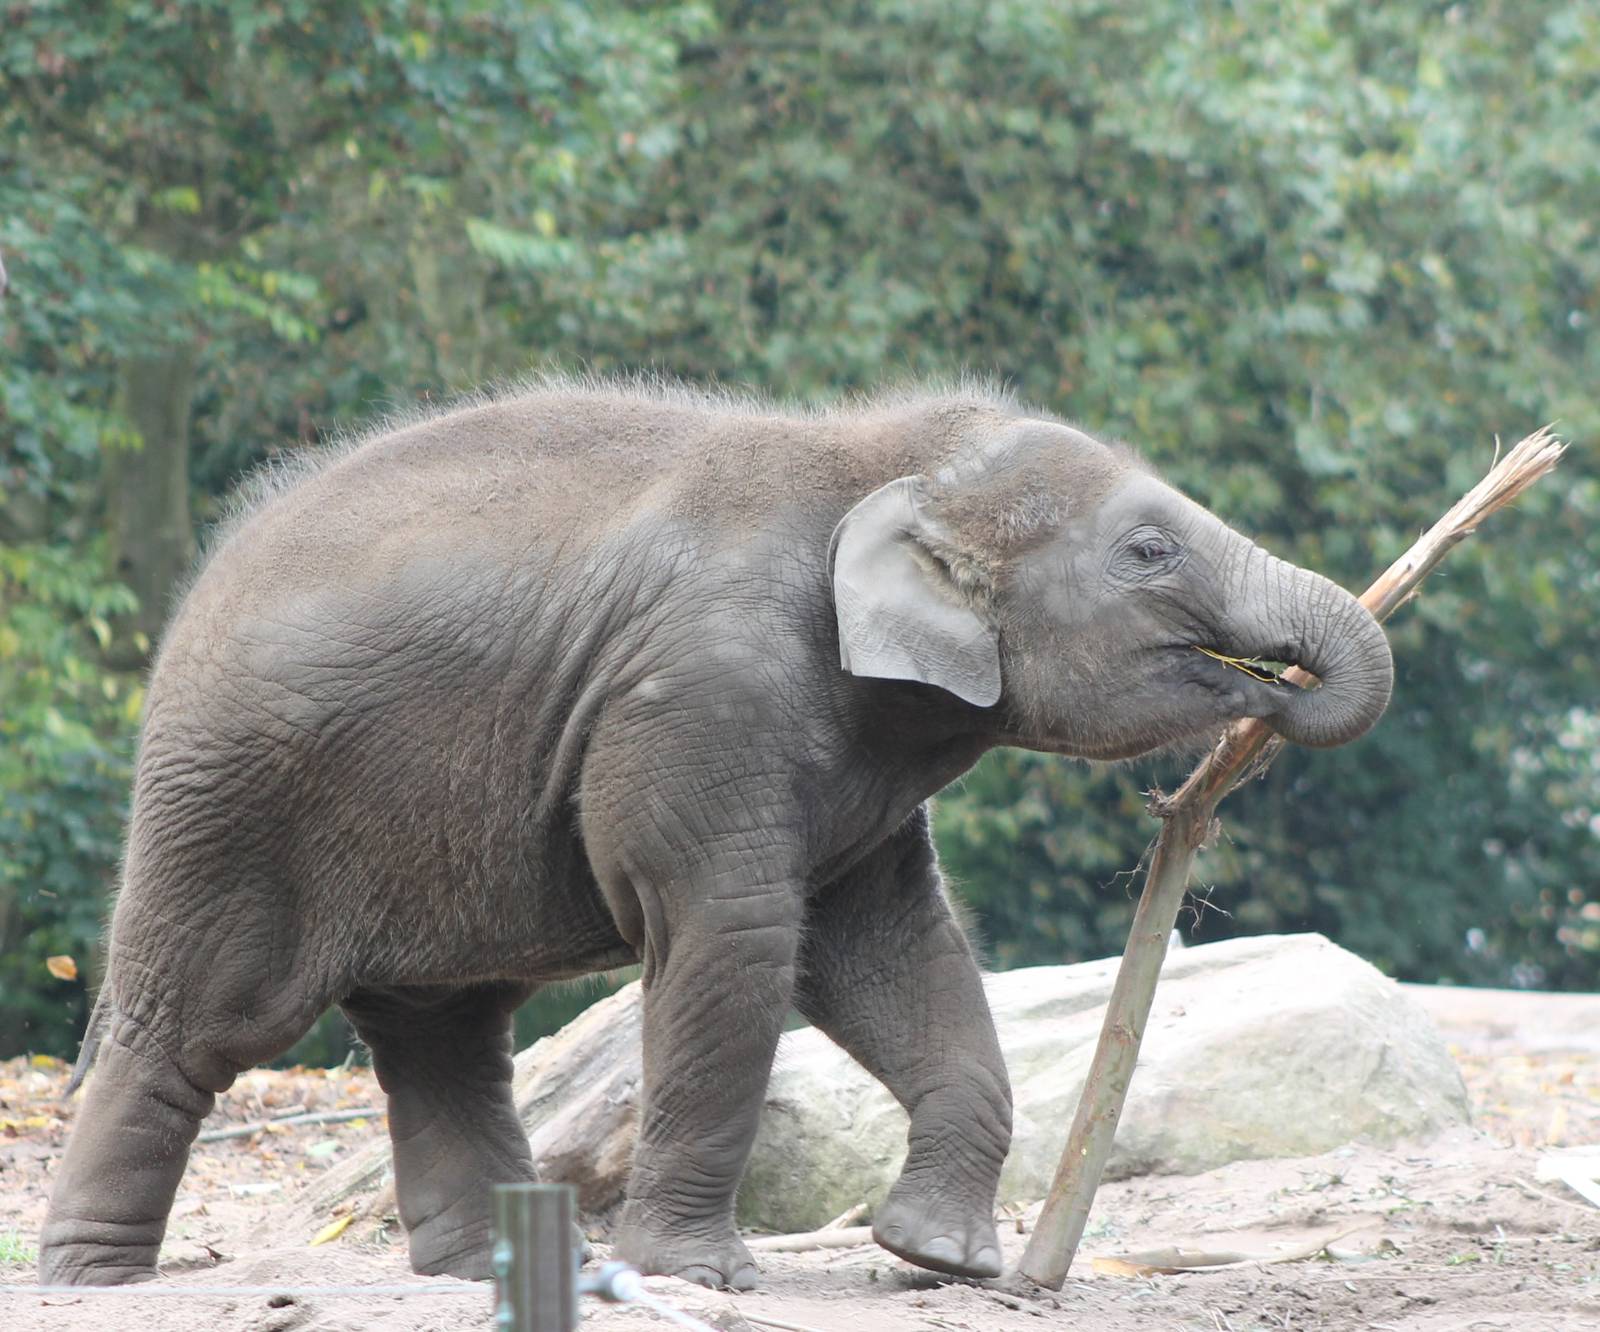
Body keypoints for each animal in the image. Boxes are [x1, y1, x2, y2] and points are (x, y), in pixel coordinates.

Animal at [40, 378, 1392, 1289]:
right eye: (1149, 551)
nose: (1271, 695)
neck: (879, 453)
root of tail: (198, 590)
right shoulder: (701, 696)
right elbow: (736, 939)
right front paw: (702, 1279)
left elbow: (896, 951)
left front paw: (938, 1259)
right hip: (231, 803)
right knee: (196, 1028)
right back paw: (96, 1280)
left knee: (445, 1035)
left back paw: (499, 1275)